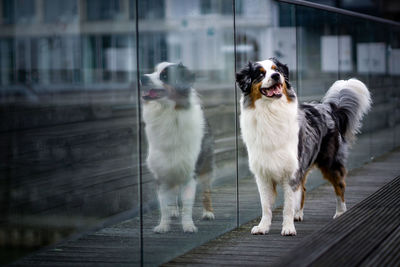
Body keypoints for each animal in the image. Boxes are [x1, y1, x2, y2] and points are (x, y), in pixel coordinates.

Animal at [141, 62, 214, 234]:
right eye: (154, 70)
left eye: (165, 76)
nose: (142, 78)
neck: (169, 111)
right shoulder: (161, 173)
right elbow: (163, 205)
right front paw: (163, 225)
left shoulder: (191, 173)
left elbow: (187, 205)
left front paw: (188, 226)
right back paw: (174, 211)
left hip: (206, 167)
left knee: (206, 190)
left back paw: (208, 213)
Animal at [236, 58, 370, 237]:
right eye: (260, 74)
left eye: (276, 69)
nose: (276, 76)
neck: (270, 111)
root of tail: (329, 108)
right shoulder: (263, 174)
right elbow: (266, 205)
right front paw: (263, 227)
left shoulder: (291, 171)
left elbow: (287, 204)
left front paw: (288, 228)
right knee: (303, 189)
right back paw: (298, 214)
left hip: (329, 162)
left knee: (339, 185)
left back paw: (340, 213)